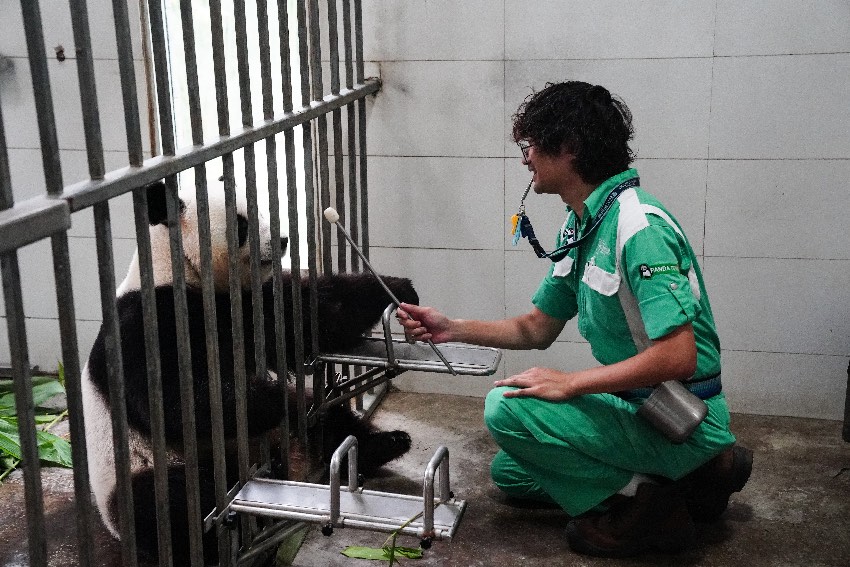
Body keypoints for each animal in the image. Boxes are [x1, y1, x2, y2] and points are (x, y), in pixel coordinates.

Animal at [83, 181, 418, 564]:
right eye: (241, 223)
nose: (284, 240)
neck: (181, 269)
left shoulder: (246, 303)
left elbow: (308, 315)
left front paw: (398, 289)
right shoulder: (145, 322)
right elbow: (177, 400)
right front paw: (271, 398)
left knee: (327, 423)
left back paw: (382, 444)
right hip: (145, 471)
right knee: (176, 503)